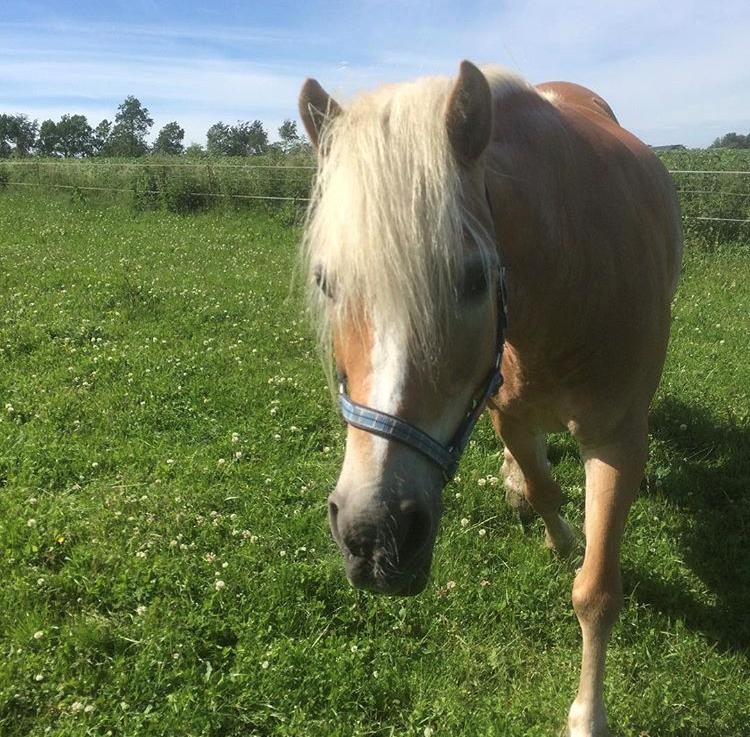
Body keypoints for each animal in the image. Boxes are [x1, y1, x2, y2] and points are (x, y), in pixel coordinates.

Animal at [298, 61, 680, 736]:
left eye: (475, 278)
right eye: (326, 281)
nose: (373, 533)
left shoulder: (618, 441)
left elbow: (597, 590)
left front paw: (587, 715)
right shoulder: (506, 413)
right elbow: (546, 489)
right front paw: (558, 535)